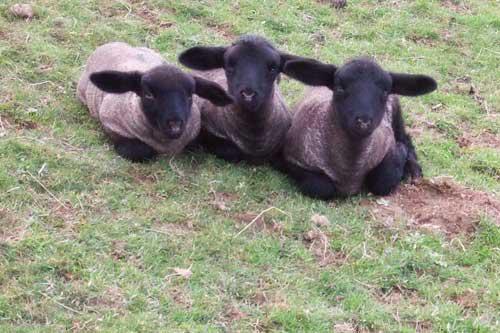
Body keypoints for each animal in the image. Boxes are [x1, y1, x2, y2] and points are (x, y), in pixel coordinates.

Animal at [77, 42, 233, 161]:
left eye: (190, 95)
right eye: (149, 94)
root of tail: (110, 43)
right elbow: (140, 151)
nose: (175, 125)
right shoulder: (112, 125)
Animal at [282, 55, 438, 198]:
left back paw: (413, 170)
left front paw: (400, 152)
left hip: (396, 113)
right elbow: (320, 187)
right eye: (340, 88)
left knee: (405, 138)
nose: (363, 121)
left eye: (385, 91)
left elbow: (383, 182)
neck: (350, 171)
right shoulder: (292, 160)